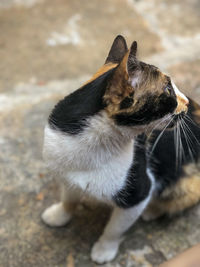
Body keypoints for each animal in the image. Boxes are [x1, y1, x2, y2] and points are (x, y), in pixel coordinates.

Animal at [41, 35, 200, 264]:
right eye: (168, 90)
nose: (187, 101)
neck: (93, 146)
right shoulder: (67, 176)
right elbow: (68, 198)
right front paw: (58, 215)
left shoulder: (139, 192)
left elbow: (115, 228)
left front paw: (104, 250)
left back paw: (152, 211)